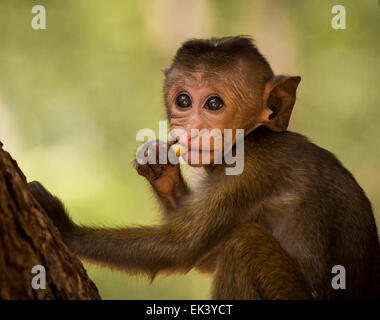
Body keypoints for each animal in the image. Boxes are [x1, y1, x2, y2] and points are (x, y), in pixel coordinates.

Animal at [30, 36, 380, 298]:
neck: (251, 137)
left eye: (214, 104)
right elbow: (206, 258)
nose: (192, 130)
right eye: (183, 101)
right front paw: (160, 168)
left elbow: (182, 249)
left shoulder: (253, 169)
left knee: (243, 242)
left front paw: (64, 227)